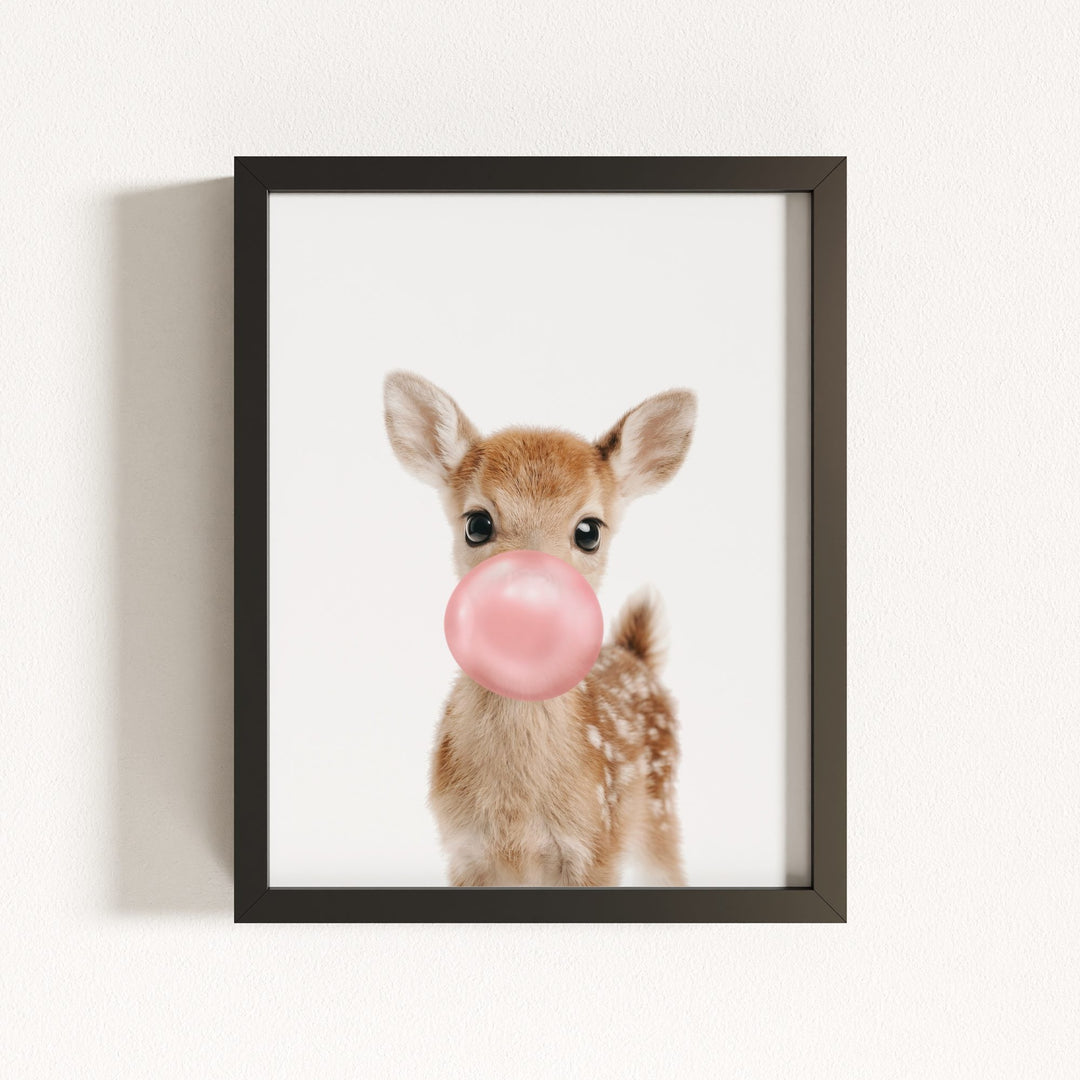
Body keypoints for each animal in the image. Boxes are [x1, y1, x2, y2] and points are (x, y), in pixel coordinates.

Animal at [383, 371, 697, 886]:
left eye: (589, 531)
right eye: (477, 523)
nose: (530, 596)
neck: (516, 818)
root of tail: (636, 654)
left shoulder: (596, 848)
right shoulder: (463, 851)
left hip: (660, 811)